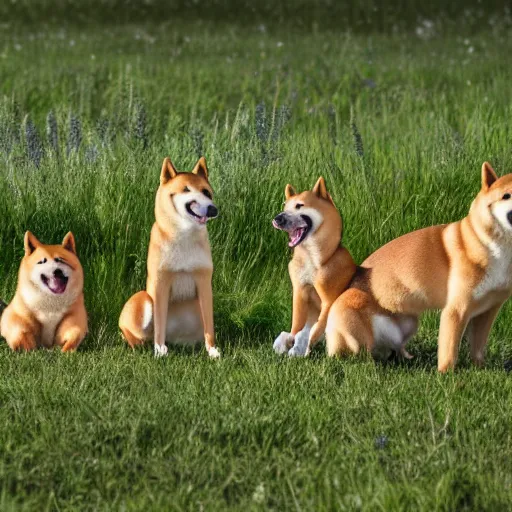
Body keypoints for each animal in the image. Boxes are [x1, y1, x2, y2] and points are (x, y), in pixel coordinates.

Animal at [119, 154, 221, 358]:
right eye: (186, 189)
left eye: (207, 192)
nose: (213, 209)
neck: (184, 236)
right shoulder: (161, 284)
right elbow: (159, 323)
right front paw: (159, 350)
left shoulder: (204, 284)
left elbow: (210, 326)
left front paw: (212, 350)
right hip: (143, 299)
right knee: (129, 332)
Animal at [272, 176, 356, 356]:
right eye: (285, 207)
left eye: (299, 205)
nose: (277, 219)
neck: (311, 259)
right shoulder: (299, 290)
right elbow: (297, 324)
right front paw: (291, 341)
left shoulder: (329, 299)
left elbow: (316, 327)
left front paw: (304, 347)